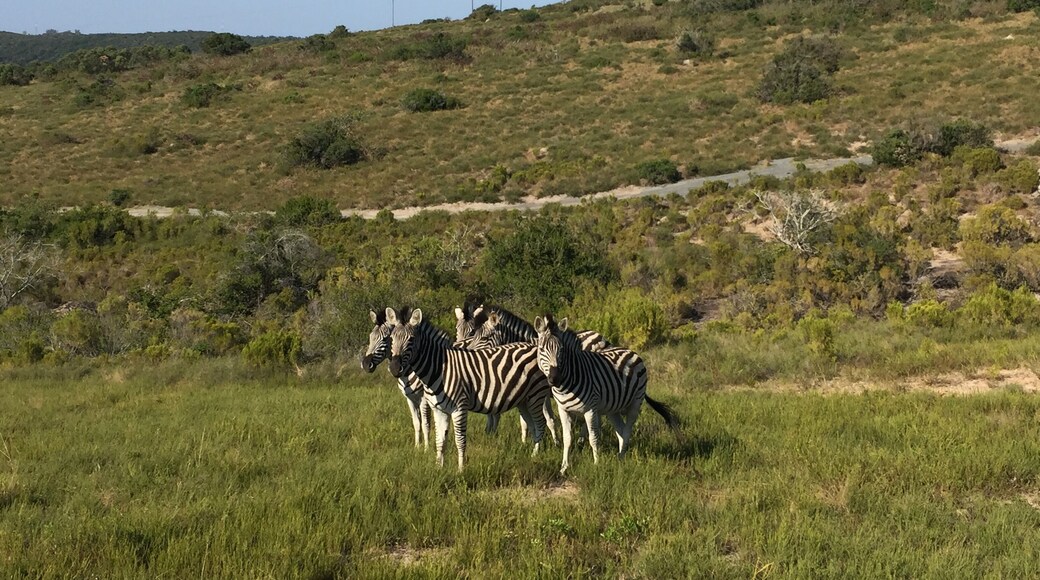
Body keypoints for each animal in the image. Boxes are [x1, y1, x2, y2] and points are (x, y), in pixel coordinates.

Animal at [387, 307, 553, 471]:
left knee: (541, 424)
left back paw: (535, 456)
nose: (395, 368)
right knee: (532, 425)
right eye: (391, 338)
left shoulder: (459, 407)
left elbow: (460, 441)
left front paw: (461, 470)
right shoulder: (438, 410)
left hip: (536, 395)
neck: (438, 369)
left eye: (411, 339)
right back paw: (532, 453)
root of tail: (535, 346)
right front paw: (439, 468)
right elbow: (440, 441)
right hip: (524, 400)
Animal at [534, 314, 680, 474]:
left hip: (635, 403)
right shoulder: (563, 410)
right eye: (541, 349)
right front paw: (564, 467)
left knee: (627, 430)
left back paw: (621, 459)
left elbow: (593, 438)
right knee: (621, 431)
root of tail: (631, 351)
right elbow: (567, 438)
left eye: (562, 350)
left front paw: (596, 465)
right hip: (613, 409)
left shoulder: (590, 410)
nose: (555, 379)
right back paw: (620, 458)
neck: (566, 385)